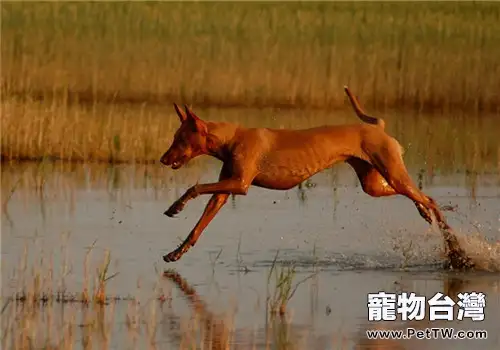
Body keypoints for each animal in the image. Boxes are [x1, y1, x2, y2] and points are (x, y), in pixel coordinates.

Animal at [161, 86, 472, 270]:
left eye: (180, 139)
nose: (162, 159)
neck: (231, 138)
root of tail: (378, 127)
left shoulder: (239, 185)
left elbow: (195, 187)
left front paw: (176, 206)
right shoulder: (224, 191)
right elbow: (198, 227)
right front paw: (177, 251)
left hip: (393, 174)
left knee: (430, 199)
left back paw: (455, 247)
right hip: (375, 184)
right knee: (423, 197)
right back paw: (428, 218)